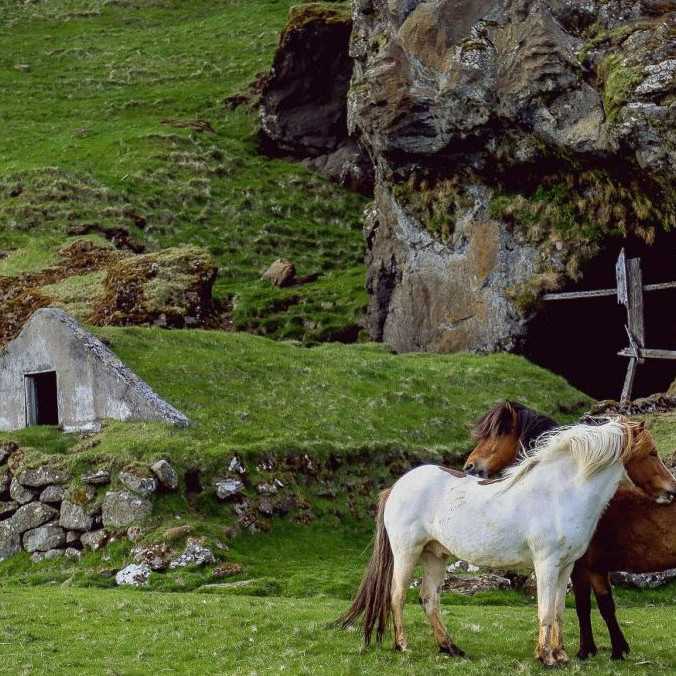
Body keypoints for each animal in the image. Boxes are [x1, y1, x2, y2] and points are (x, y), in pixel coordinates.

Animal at [340, 420, 652, 664]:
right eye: (651, 453)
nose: (664, 491)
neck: (559, 494)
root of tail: (396, 487)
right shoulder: (546, 565)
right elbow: (545, 610)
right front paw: (546, 657)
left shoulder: (566, 567)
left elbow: (559, 610)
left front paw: (560, 654)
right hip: (407, 553)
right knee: (397, 595)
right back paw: (403, 645)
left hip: (435, 556)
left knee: (429, 598)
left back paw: (450, 648)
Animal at [464, 402, 676, 660]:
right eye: (652, 453)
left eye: (497, 433)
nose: (470, 466)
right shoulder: (591, 567)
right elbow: (598, 605)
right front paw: (613, 649)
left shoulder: (584, 566)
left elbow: (589, 605)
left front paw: (590, 650)